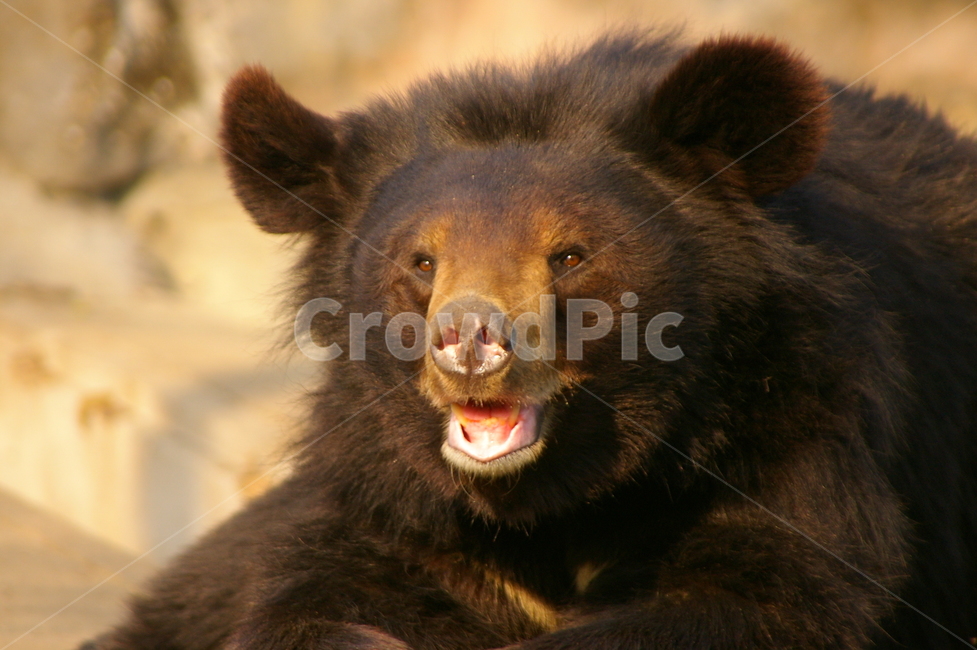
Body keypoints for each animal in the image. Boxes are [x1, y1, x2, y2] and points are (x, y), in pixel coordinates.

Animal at [86, 31, 977, 649]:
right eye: (420, 261)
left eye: (570, 255)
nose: (468, 343)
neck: (553, 501)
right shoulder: (394, 492)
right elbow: (309, 589)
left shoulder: (794, 432)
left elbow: (770, 590)